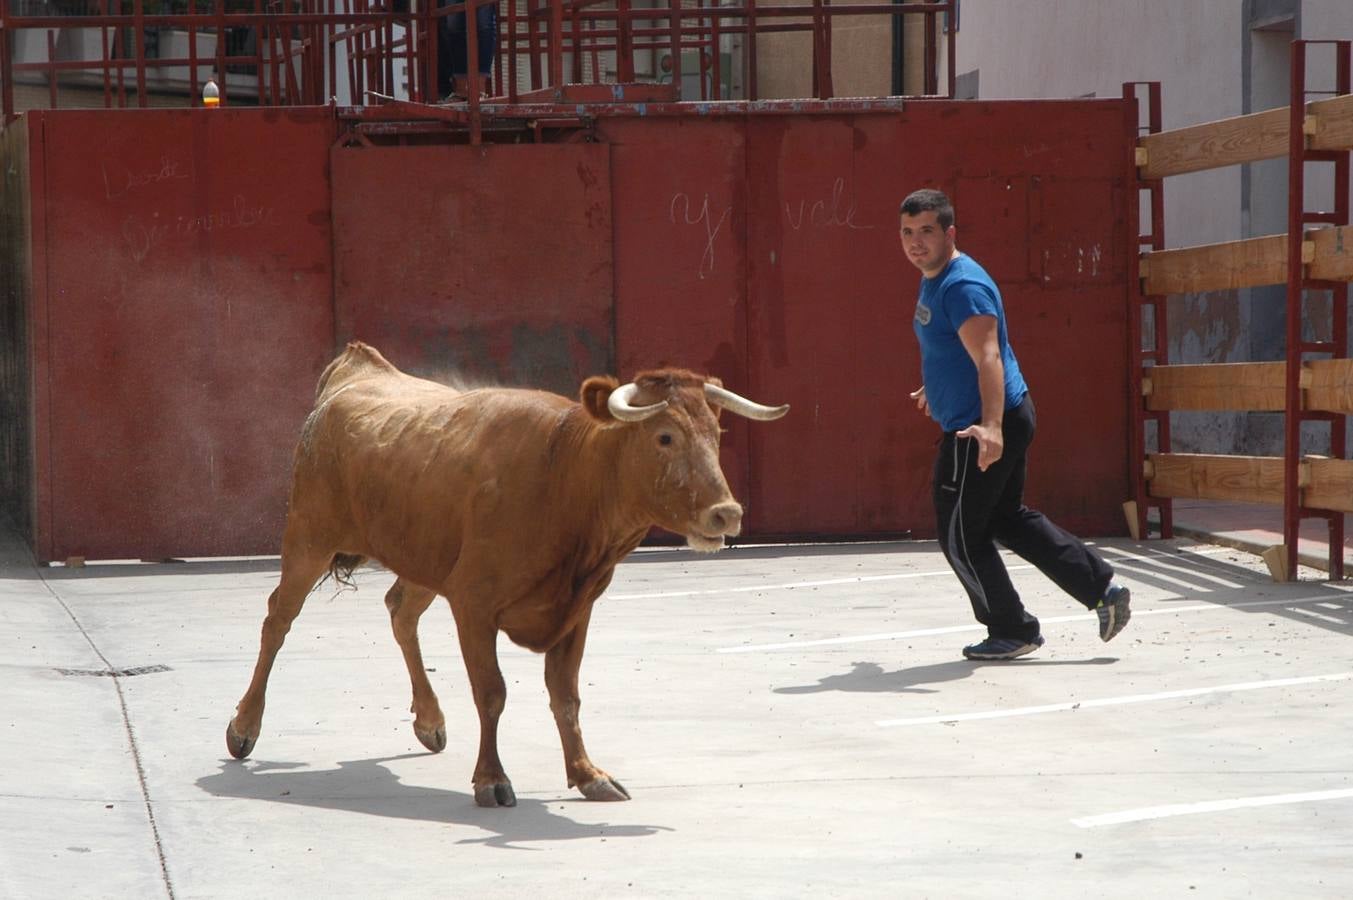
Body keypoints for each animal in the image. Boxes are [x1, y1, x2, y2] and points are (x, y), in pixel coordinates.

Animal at [227, 341, 790, 801]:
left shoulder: (575, 610)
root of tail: (355, 370)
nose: (726, 514)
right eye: (665, 437)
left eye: (716, 432)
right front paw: (492, 779)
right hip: (308, 538)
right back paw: (244, 727)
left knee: (400, 611)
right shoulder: (473, 604)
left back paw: (429, 721)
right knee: (278, 619)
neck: (565, 474)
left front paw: (588, 774)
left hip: (424, 558)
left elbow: (566, 696)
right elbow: (492, 693)